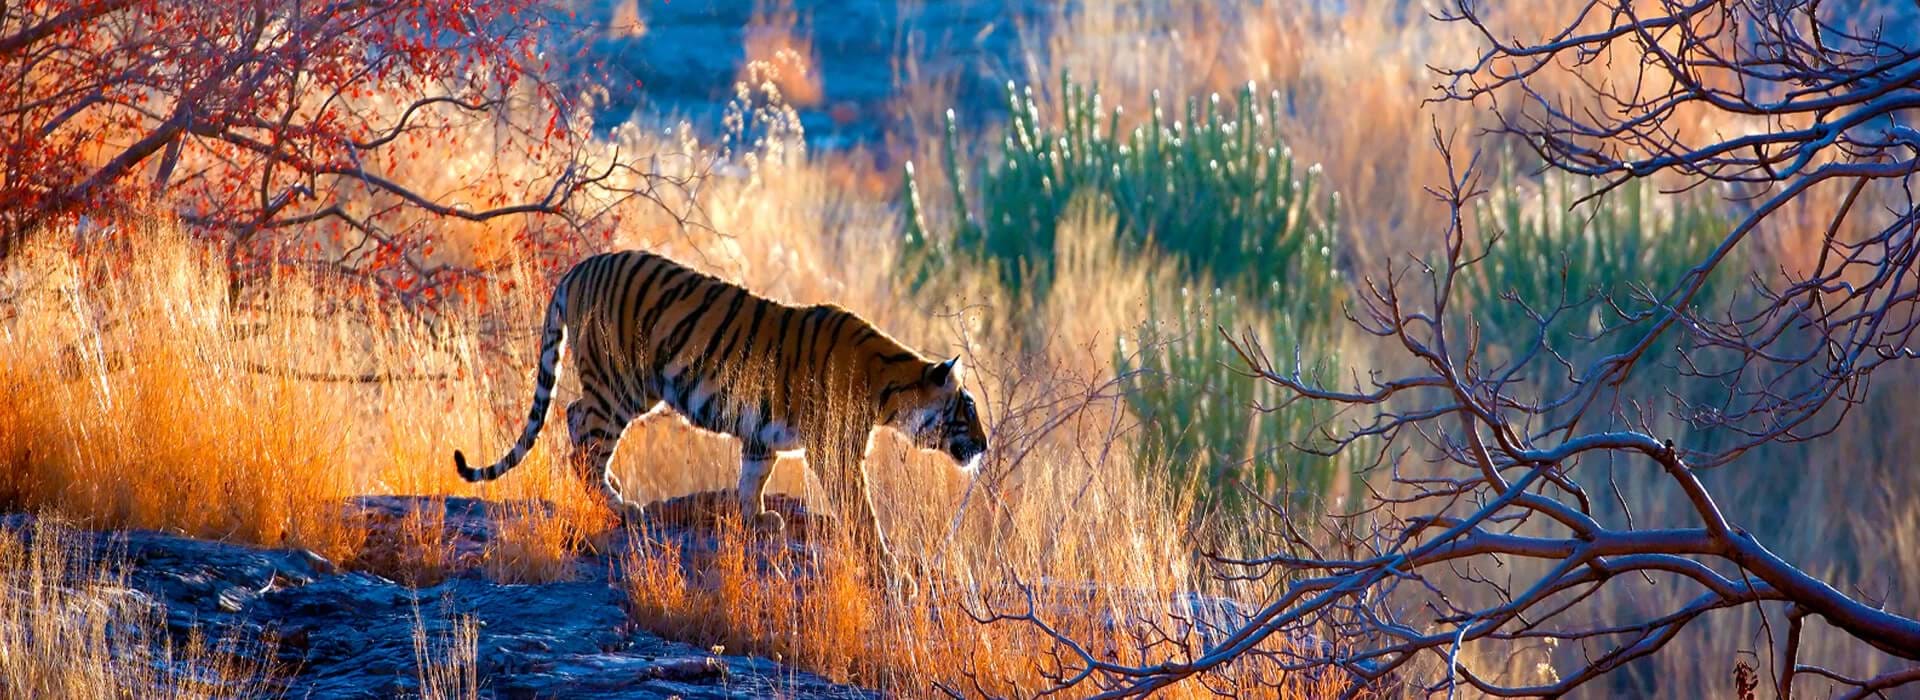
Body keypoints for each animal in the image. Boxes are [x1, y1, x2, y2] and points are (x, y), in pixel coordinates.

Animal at [453, 250, 988, 574]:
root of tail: (581, 267)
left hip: (622, 387)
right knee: (584, 438)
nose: (984, 446)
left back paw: (613, 487)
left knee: (573, 415)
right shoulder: (836, 453)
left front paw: (758, 519)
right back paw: (618, 504)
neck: (891, 392)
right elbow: (861, 509)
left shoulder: (762, 436)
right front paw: (887, 561)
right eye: (967, 409)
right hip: (621, 383)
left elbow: (753, 478)